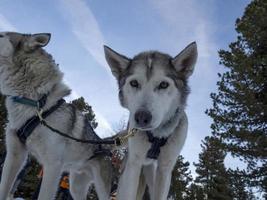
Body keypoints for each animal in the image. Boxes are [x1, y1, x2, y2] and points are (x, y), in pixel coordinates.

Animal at [0, 32, 112, 199]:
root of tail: (104, 144)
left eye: (1, 35)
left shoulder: (52, 166)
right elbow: (3, 188)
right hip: (76, 187)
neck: (37, 102)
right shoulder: (15, 155)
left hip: (101, 189)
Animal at [105, 42, 198, 200]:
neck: (156, 136)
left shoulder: (165, 169)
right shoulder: (133, 164)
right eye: (134, 83)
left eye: (163, 85)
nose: (142, 117)